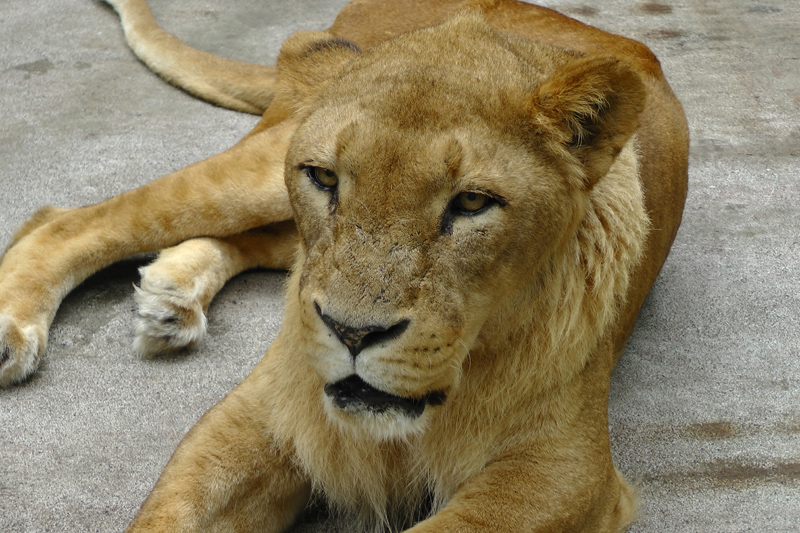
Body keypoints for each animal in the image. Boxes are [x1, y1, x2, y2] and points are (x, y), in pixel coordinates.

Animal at [0, 0, 688, 528]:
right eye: (324, 178)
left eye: (471, 202)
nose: (353, 335)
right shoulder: (268, 409)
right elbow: (171, 512)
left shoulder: (559, 474)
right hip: (261, 166)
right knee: (67, 219)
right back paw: (17, 329)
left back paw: (172, 297)